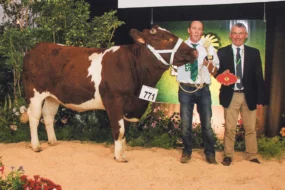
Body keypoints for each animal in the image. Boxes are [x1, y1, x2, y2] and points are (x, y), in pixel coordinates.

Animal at [21, 25, 196, 162]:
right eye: (165, 38)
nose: (194, 52)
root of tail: (35, 49)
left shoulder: (128, 105)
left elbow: (124, 132)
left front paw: (122, 153)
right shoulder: (114, 101)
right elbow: (119, 130)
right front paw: (118, 157)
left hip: (53, 97)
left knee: (48, 116)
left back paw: (53, 141)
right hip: (34, 93)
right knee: (34, 117)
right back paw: (36, 146)